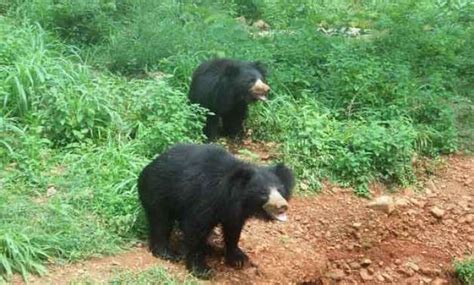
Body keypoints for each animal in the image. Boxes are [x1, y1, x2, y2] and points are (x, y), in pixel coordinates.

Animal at [135, 142, 294, 278]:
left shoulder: (234, 211)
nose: (282, 205)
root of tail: (150, 165)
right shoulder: (206, 198)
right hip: (158, 192)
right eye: (263, 193)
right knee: (161, 221)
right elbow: (195, 228)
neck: (231, 196)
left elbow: (233, 229)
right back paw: (167, 252)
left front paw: (238, 258)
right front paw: (201, 269)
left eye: (280, 190)